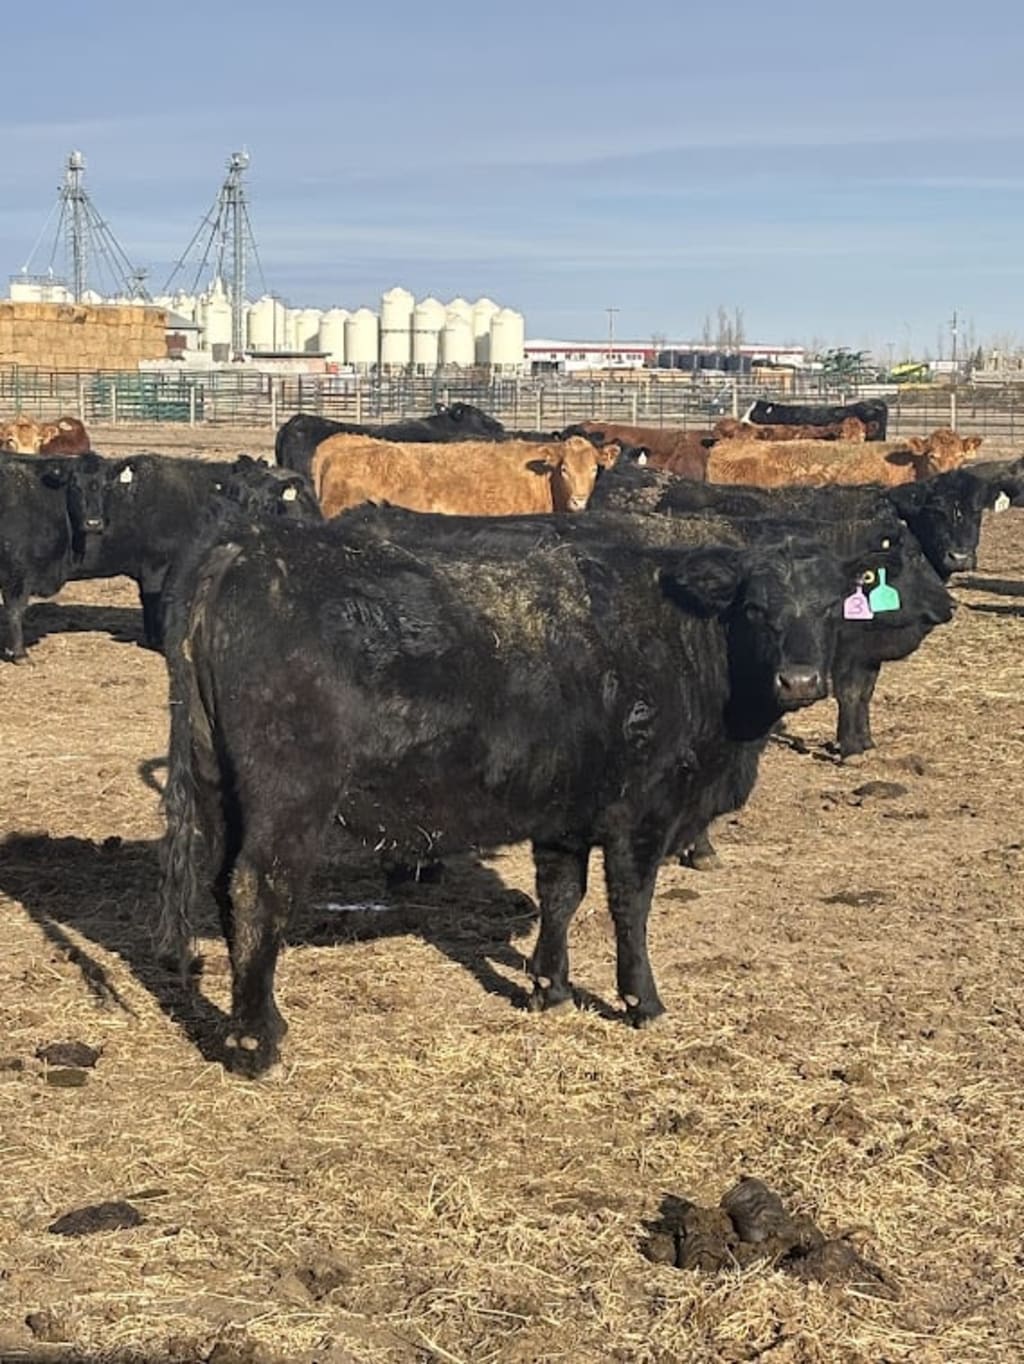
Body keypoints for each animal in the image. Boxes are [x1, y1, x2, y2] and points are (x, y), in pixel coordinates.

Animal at [0, 452, 108, 661]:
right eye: (75, 485)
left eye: (105, 485)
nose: (93, 523)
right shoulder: (16, 570)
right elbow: (15, 609)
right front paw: (19, 654)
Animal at [156, 506, 888, 1075]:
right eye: (756, 608)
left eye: (831, 606)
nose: (800, 680)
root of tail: (246, 547)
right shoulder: (642, 813)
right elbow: (630, 905)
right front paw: (642, 1002)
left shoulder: (564, 811)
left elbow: (562, 895)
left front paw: (549, 988)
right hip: (290, 798)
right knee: (258, 888)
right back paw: (258, 1044)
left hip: (222, 790)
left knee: (222, 885)